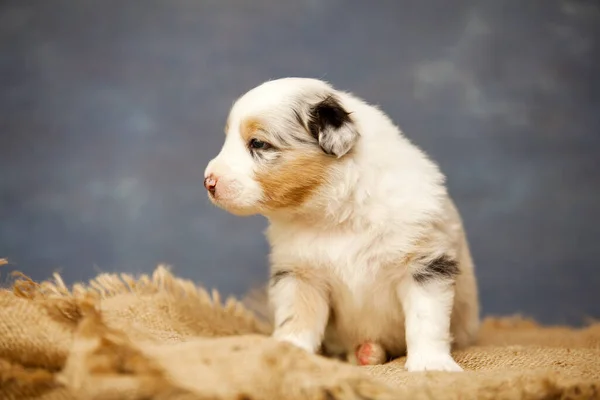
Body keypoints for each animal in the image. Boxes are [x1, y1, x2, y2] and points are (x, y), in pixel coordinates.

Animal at [204, 77, 480, 372]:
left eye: (258, 143)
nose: (208, 181)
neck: (336, 215)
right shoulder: (301, 274)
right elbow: (296, 317)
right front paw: (289, 350)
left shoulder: (426, 264)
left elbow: (425, 319)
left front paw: (432, 364)